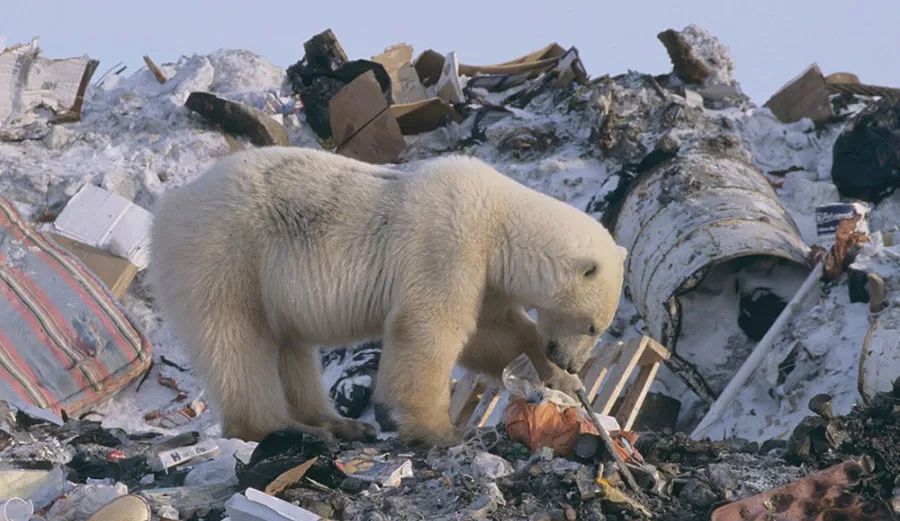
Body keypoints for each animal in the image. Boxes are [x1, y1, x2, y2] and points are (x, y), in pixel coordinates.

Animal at [148, 145, 624, 442]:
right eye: (593, 325)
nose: (572, 361)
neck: (497, 218)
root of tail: (167, 209)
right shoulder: (448, 243)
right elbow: (431, 326)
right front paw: (440, 431)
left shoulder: (483, 271)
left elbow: (493, 333)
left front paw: (560, 380)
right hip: (225, 254)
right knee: (236, 341)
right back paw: (284, 428)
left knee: (289, 347)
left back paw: (340, 424)